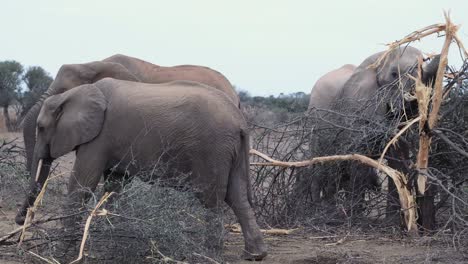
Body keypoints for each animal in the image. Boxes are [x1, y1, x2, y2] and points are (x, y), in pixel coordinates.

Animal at [306, 45, 440, 214]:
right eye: (393, 74)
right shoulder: (357, 106)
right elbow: (358, 159)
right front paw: (356, 214)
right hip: (315, 122)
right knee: (321, 165)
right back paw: (321, 210)